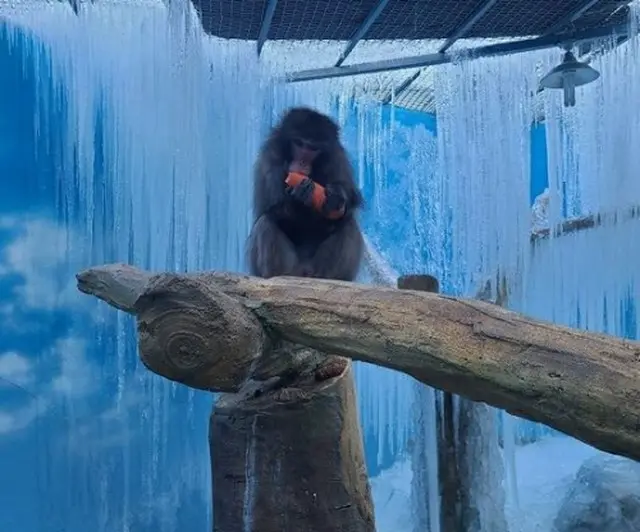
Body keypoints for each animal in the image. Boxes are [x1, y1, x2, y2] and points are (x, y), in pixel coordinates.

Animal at [247, 107, 364, 282]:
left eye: (313, 148)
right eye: (299, 143)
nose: (302, 163)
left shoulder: (336, 158)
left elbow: (348, 202)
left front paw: (337, 196)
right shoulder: (270, 157)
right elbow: (273, 208)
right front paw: (299, 198)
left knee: (348, 223)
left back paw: (332, 278)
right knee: (266, 222)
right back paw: (278, 274)